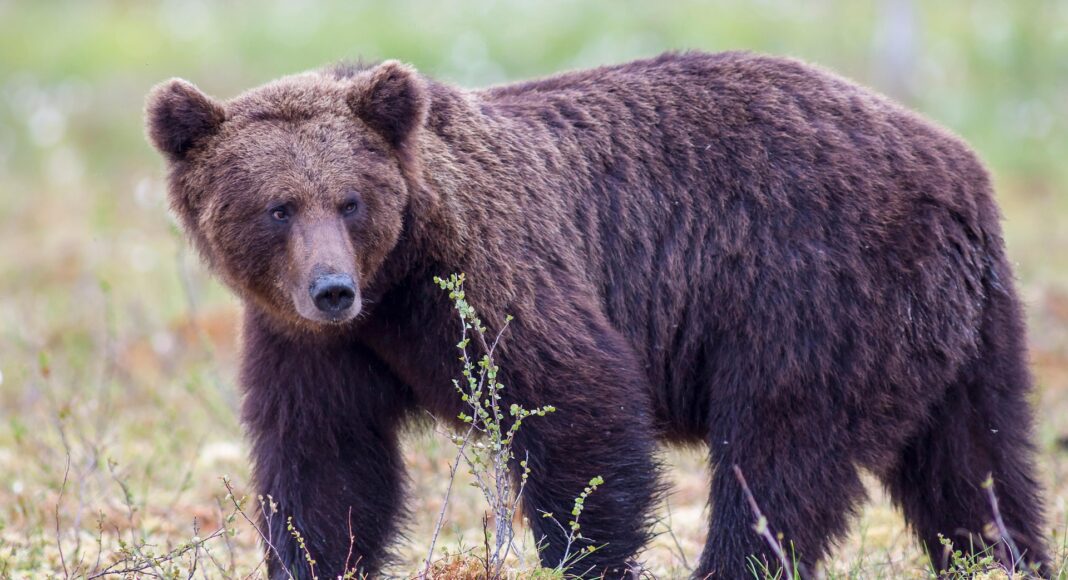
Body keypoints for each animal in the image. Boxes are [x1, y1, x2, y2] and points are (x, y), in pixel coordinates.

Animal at [145, 51, 1049, 578]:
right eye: (277, 208)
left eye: (349, 200)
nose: (331, 288)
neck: (396, 280)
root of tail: (958, 165)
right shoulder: (313, 345)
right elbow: (325, 468)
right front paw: (312, 555)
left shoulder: (488, 274)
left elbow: (579, 408)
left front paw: (588, 554)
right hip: (963, 332)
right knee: (976, 468)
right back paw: (1007, 559)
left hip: (814, 294)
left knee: (780, 459)